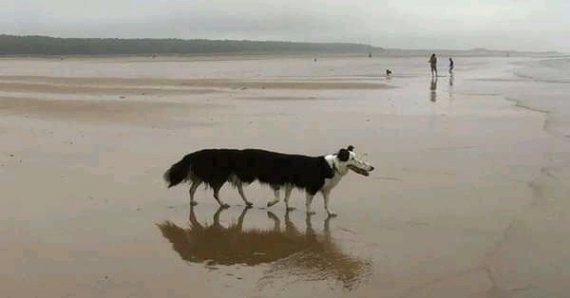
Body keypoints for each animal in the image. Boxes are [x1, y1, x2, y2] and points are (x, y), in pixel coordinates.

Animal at [163, 146, 372, 215]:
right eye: (354, 159)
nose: (372, 168)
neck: (333, 166)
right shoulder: (305, 186)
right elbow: (293, 200)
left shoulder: (322, 189)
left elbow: (324, 202)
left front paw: (329, 213)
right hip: (220, 176)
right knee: (213, 191)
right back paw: (223, 204)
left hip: (221, 176)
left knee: (194, 187)